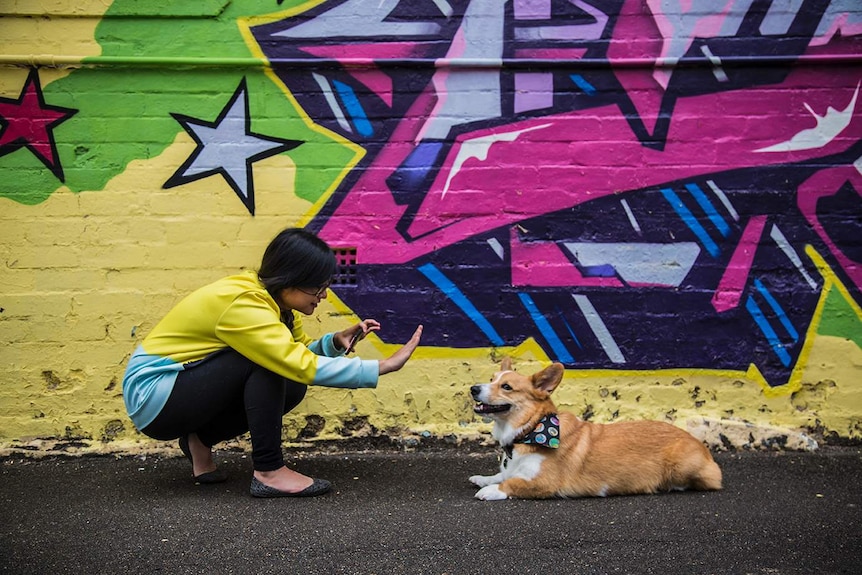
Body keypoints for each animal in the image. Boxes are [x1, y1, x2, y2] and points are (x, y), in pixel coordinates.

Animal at [470, 358, 724, 502]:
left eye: (506, 387)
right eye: (491, 379)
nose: (473, 388)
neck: (532, 429)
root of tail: (701, 446)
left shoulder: (544, 482)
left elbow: (511, 483)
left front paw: (491, 490)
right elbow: (503, 474)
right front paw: (484, 479)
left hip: (682, 466)